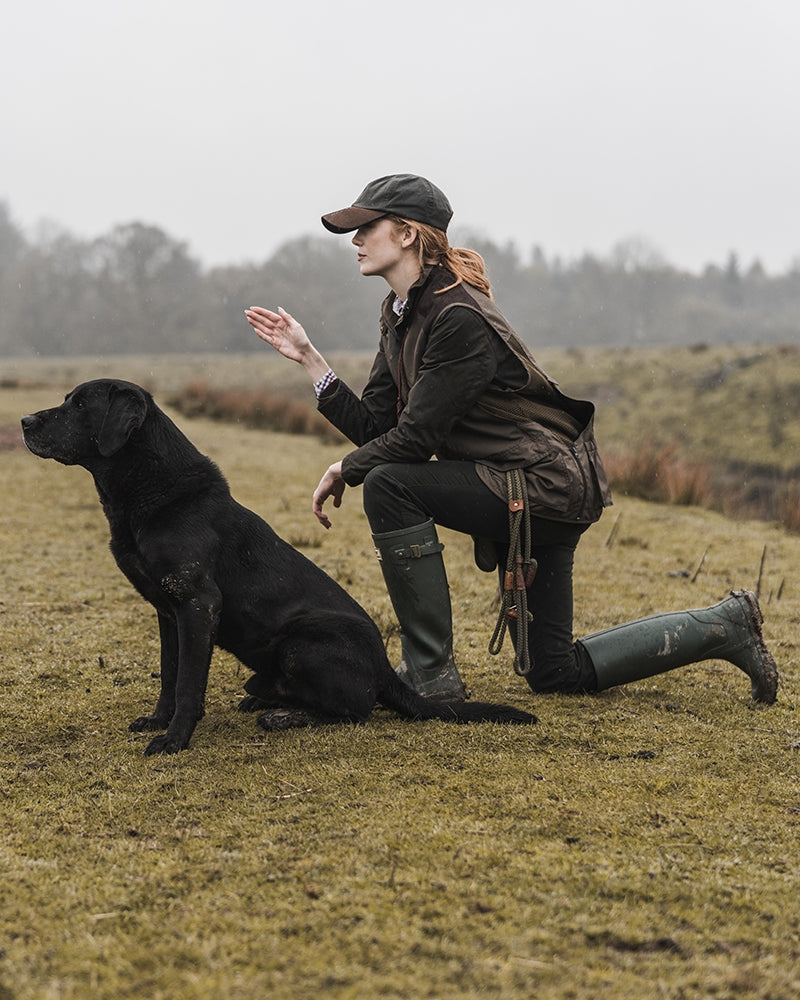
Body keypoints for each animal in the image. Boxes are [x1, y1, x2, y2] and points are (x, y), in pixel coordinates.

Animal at [23, 378, 536, 752]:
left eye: (80, 405)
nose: (25, 420)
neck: (153, 489)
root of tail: (385, 671)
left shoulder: (198, 604)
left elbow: (189, 683)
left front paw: (174, 740)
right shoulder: (167, 610)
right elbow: (170, 675)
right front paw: (158, 720)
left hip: (301, 640)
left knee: (356, 709)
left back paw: (284, 713)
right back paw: (263, 696)